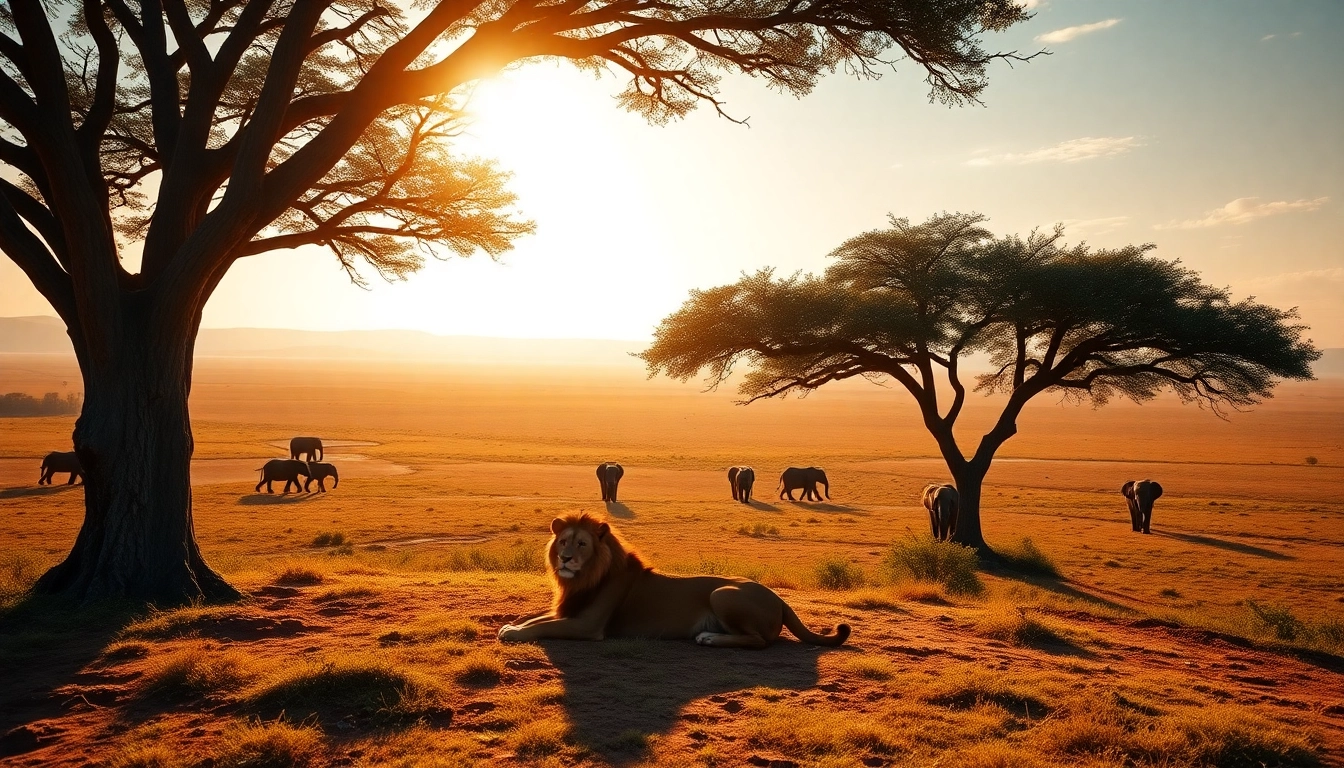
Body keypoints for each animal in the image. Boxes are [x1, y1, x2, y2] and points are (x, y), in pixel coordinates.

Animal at [497, 513, 850, 649]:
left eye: (581, 544)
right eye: (562, 542)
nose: (565, 559)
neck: (584, 579)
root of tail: (780, 598)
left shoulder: (587, 625)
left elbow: (544, 627)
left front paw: (512, 632)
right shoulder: (568, 609)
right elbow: (537, 618)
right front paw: (514, 623)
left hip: (723, 593)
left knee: (760, 641)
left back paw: (710, 638)